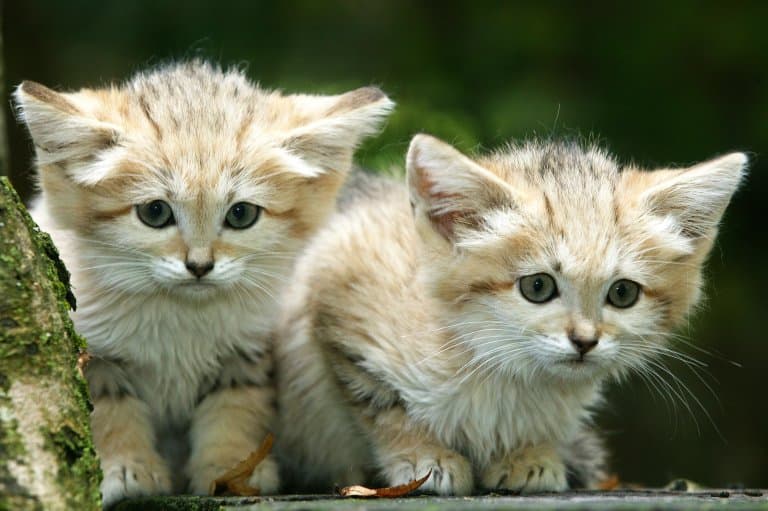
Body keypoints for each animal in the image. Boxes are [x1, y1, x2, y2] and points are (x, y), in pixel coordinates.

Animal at [13, 61, 390, 508]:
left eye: (241, 214)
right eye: (155, 212)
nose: (199, 266)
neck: (182, 317)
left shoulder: (244, 356)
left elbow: (232, 414)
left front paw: (229, 471)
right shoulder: (99, 359)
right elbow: (111, 412)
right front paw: (126, 468)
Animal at [274, 134, 744, 494]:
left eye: (623, 293)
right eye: (537, 287)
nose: (585, 341)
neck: (502, 371)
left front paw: (529, 454)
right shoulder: (334, 290)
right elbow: (380, 401)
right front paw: (423, 455)